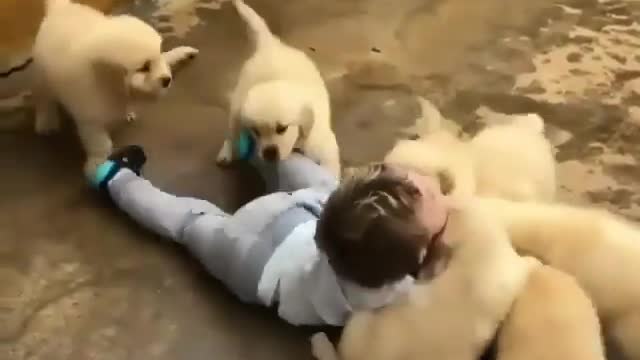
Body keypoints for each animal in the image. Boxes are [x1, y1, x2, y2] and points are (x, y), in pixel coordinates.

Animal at [30, 0, 199, 175]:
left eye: (159, 58)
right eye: (144, 67)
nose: (167, 79)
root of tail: (61, 8)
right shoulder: (90, 116)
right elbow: (100, 142)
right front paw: (97, 163)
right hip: (42, 76)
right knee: (44, 98)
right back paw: (46, 122)